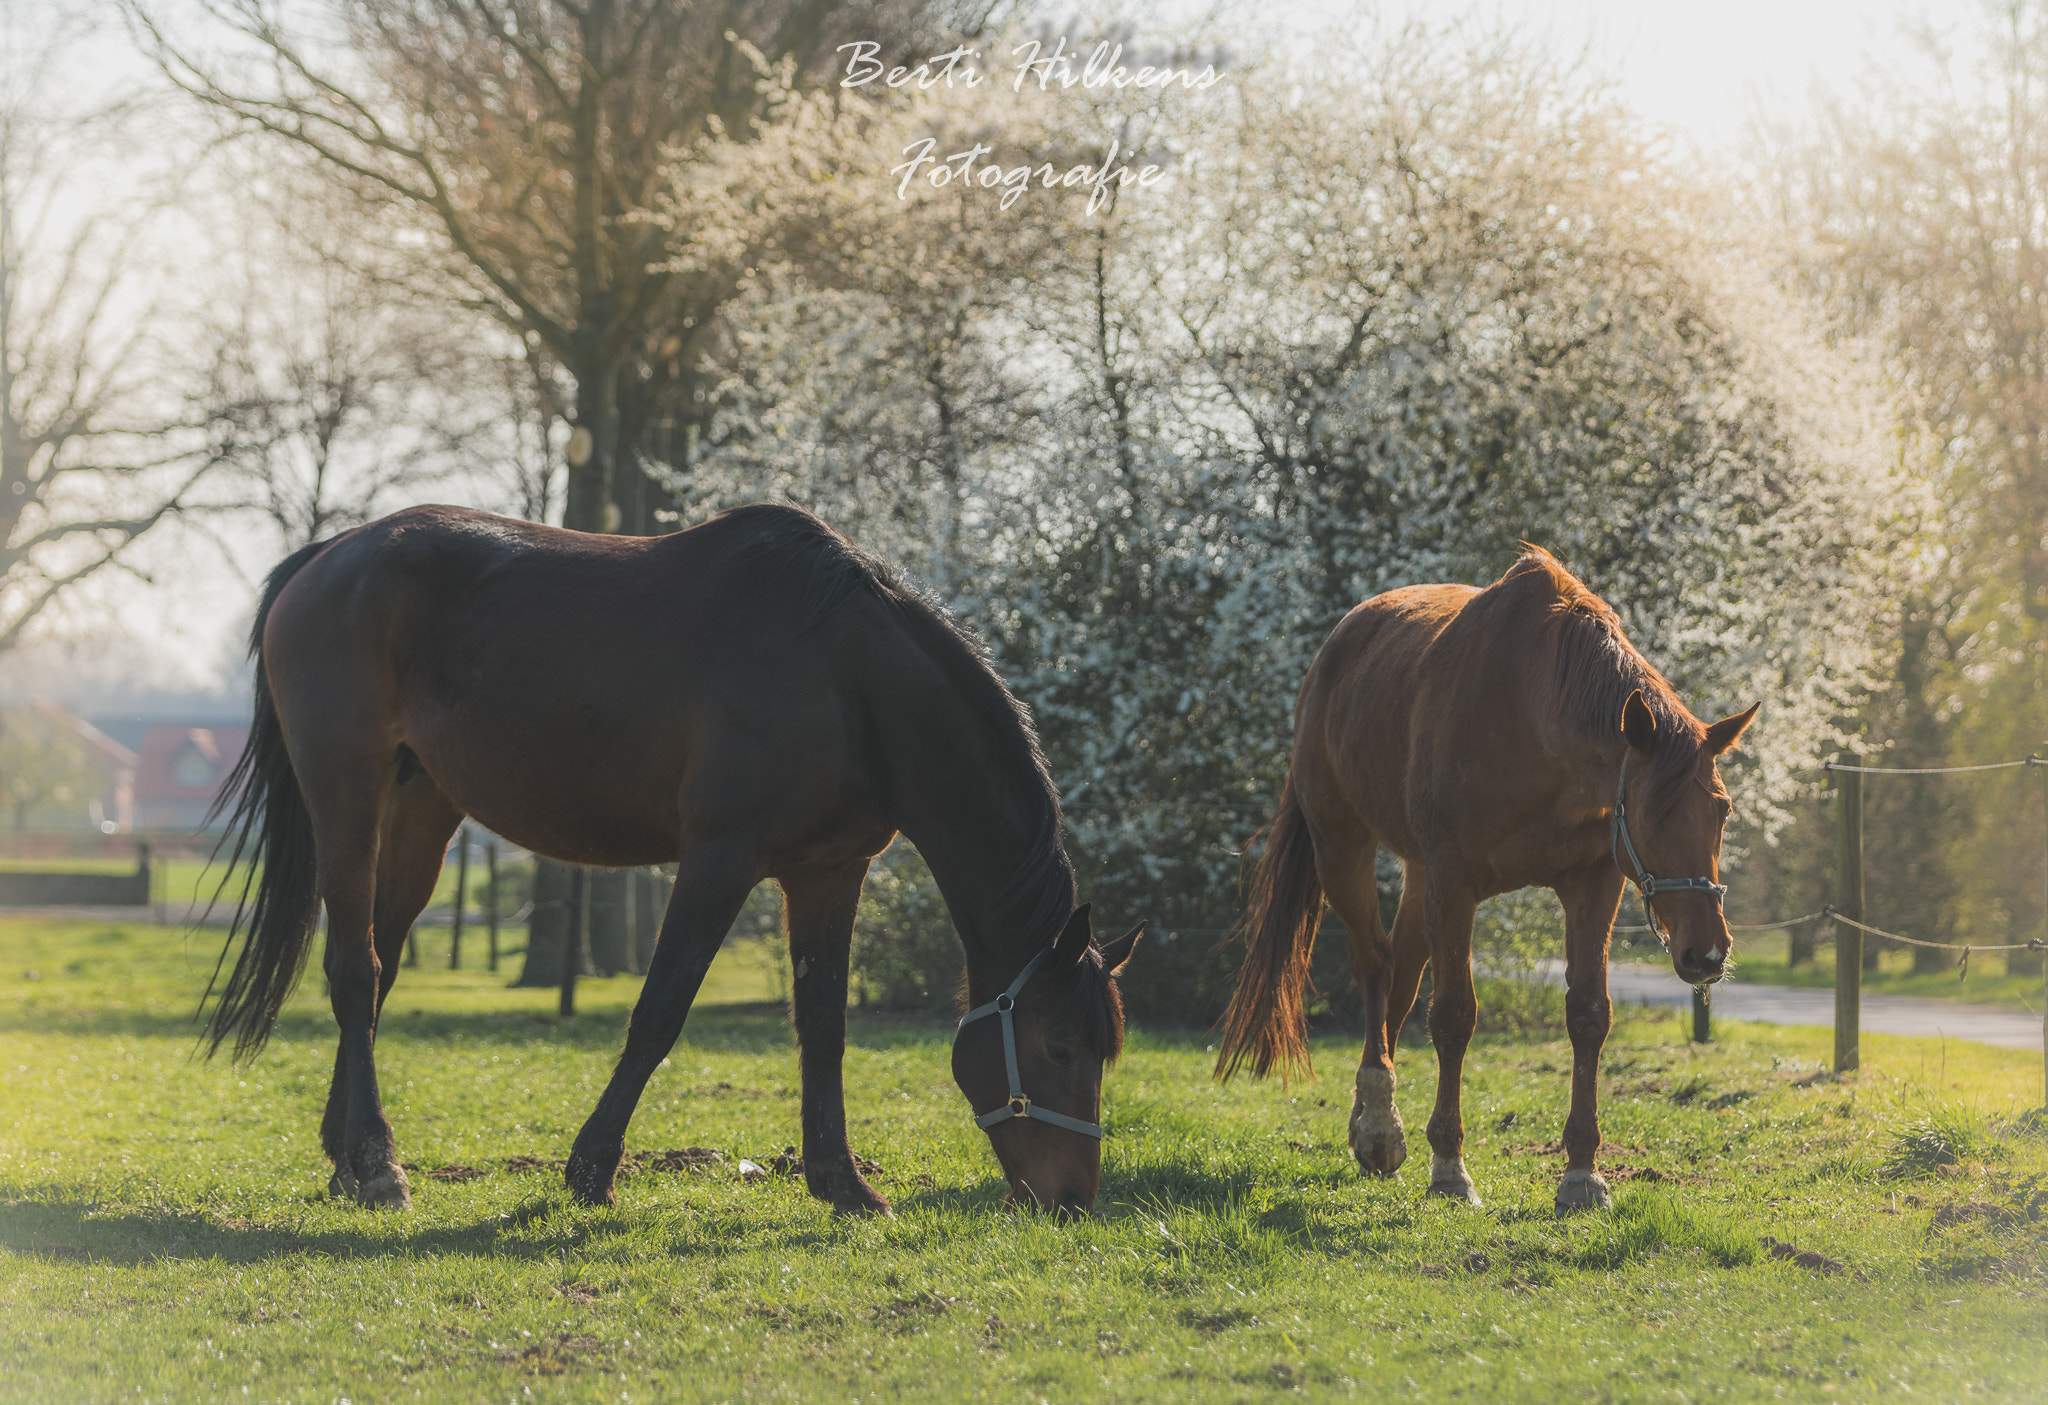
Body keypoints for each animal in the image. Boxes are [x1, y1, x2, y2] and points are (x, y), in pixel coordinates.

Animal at [201, 505, 1146, 1220]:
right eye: (1059, 1045)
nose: (1073, 1199)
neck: (846, 678)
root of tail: (326, 558)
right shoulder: (719, 858)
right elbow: (660, 1010)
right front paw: (590, 1167)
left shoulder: (829, 872)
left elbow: (823, 1025)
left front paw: (842, 1183)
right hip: (346, 794)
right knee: (353, 969)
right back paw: (378, 1164)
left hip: (421, 809)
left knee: (380, 965)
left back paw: (346, 1158)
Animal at [1212, 557, 1761, 1212]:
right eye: (1653, 815)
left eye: (1722, 811)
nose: (1706, 953)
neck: (1536, 721)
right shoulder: (1454, 882)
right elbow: (1453, 1016)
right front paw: (1450, 1166)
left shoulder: (1592, 887)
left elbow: (1588, 1015)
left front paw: (1582, 1173)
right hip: (1342, 847)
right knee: (1373, 967)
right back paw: (1379, 1125)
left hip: (1418, 877)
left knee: (1399, 976)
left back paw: (1372, 1119)